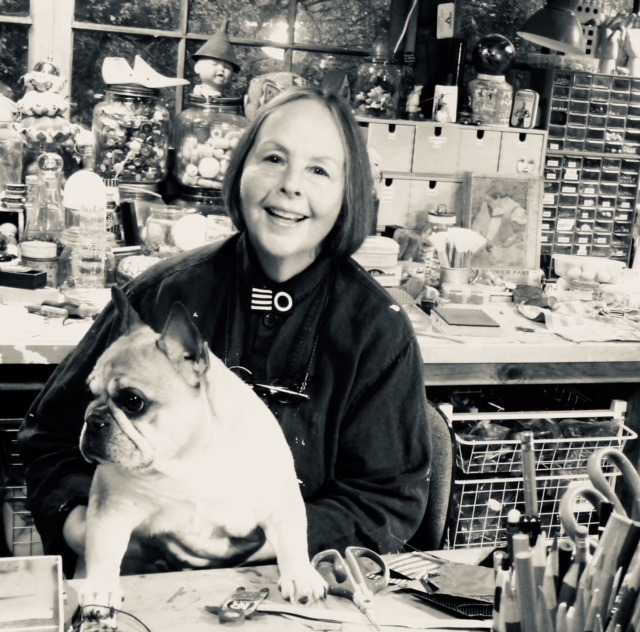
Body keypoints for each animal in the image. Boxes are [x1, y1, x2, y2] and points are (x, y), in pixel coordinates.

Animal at [79, 288, 328, 612]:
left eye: (133, 401)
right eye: (88, 392)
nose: (93, 420)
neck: (189, 458)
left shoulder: (280, 502)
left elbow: (292, 537)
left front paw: (300, 575)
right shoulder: (112, 508)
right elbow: (104, 549)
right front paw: (100, 587)